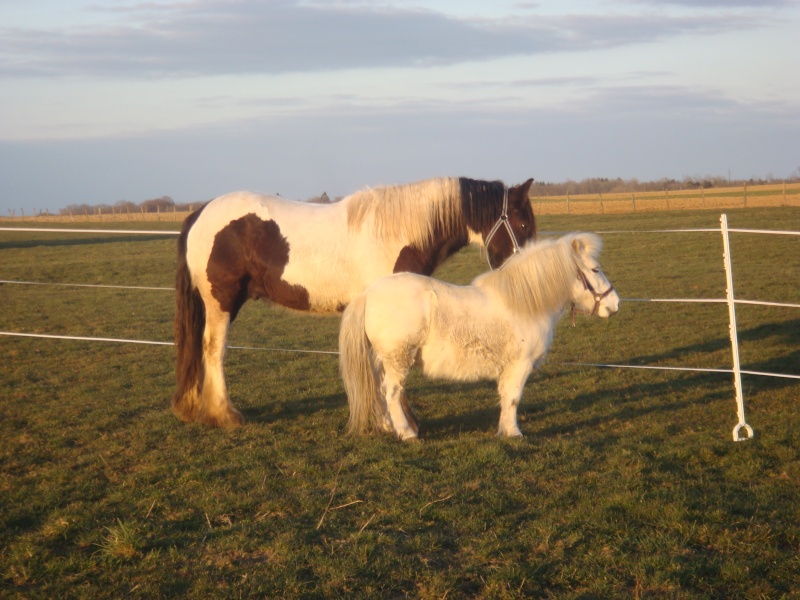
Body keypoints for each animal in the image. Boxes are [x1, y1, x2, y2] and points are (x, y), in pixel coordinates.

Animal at [172, 177, 536, 426]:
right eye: (522, 223)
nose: (528, 275)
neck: (399, 232)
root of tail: (200, 213)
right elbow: (388, 366)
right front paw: (397, 421)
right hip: (221, 302)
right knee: (213, 350)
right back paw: (225, 414)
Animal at [338, 233, 620, 440]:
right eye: (595, 269)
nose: (615, 304)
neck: (523, 303)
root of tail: (368, 293)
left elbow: (506, 397)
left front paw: (505, 429)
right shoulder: (521, 365)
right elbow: (513, 398)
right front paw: (513, 433)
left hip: (382, 361)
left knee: (380, 393)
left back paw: (389, 426)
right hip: (398, 359)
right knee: (392, 393)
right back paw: (406, 433)